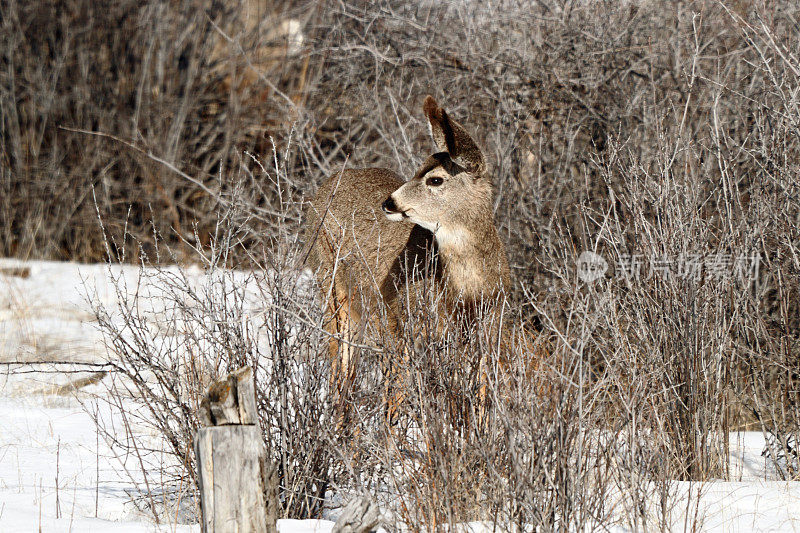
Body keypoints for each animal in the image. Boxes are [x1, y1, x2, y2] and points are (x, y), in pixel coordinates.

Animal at [304, 94, 520, 420]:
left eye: (435, 180)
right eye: (418, 168)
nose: (389, 202)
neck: (467, 291)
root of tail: (327, 184)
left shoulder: (491, 326)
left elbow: (479, 403)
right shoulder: (418, 329)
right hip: (334, 288)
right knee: (342, 370)